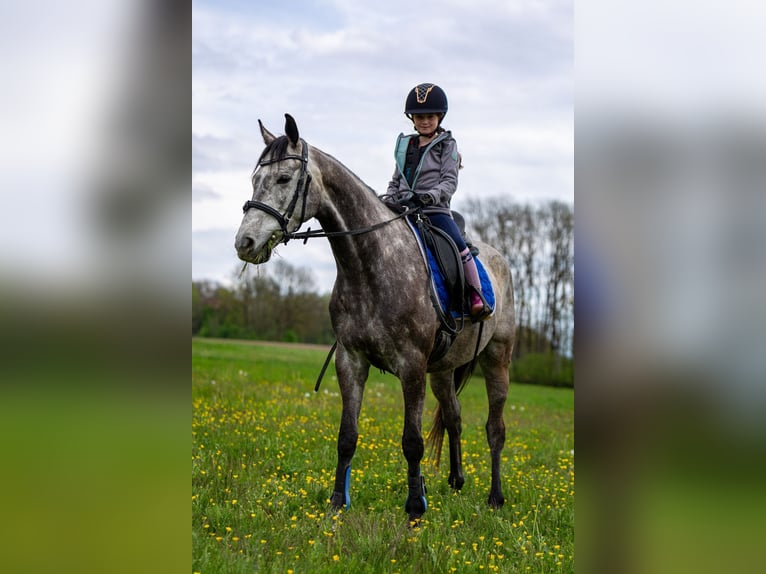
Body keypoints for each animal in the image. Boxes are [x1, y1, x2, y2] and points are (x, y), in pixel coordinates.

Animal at [234, 115, 516, 524]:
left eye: (285, 178)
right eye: (255, 178)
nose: (245, 244)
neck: (370, 263)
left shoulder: (411, 366)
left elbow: (412, 442)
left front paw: (414, 508)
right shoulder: (351, 361)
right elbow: (346, 436)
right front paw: (338, 502)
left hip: (497, 358)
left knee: (495, 428)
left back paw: (494, 497)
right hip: (443, 370)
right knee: (454, 416)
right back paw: (455, 480)